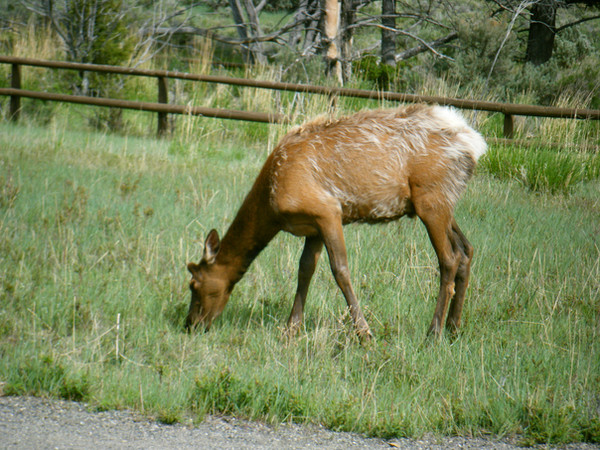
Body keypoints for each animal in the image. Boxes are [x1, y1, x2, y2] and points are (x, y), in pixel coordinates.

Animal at [186, 104, 487, 340]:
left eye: (194, 285)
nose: (191, 324)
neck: (271, 208)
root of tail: (475, 144)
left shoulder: (328, 211)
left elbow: (340, 270)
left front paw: (364, 333)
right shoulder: (312, 226)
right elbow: (305, 269)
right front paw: (291, 328)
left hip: (431, 200)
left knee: (448, 259)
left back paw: (433, 332)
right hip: (442, 202)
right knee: (466, 249)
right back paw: (454, 328)